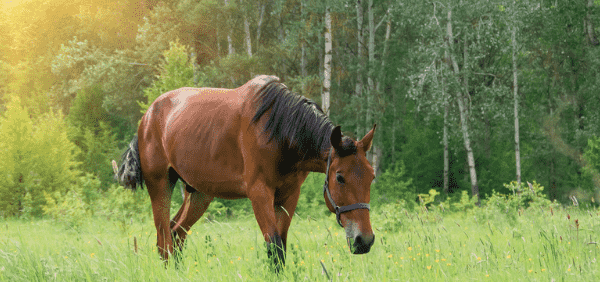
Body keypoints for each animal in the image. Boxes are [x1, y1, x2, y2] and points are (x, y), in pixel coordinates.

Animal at [115, 75, 378, 268]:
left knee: (176, 232)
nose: (364, 240)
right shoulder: (259, 193)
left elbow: (281, 245)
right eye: (340, 177)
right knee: (164, 238)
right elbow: (274, 248)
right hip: (160, 184)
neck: (279, 130)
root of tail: (147, 117)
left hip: (199, 194)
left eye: (371, 177)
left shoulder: (289, 196)